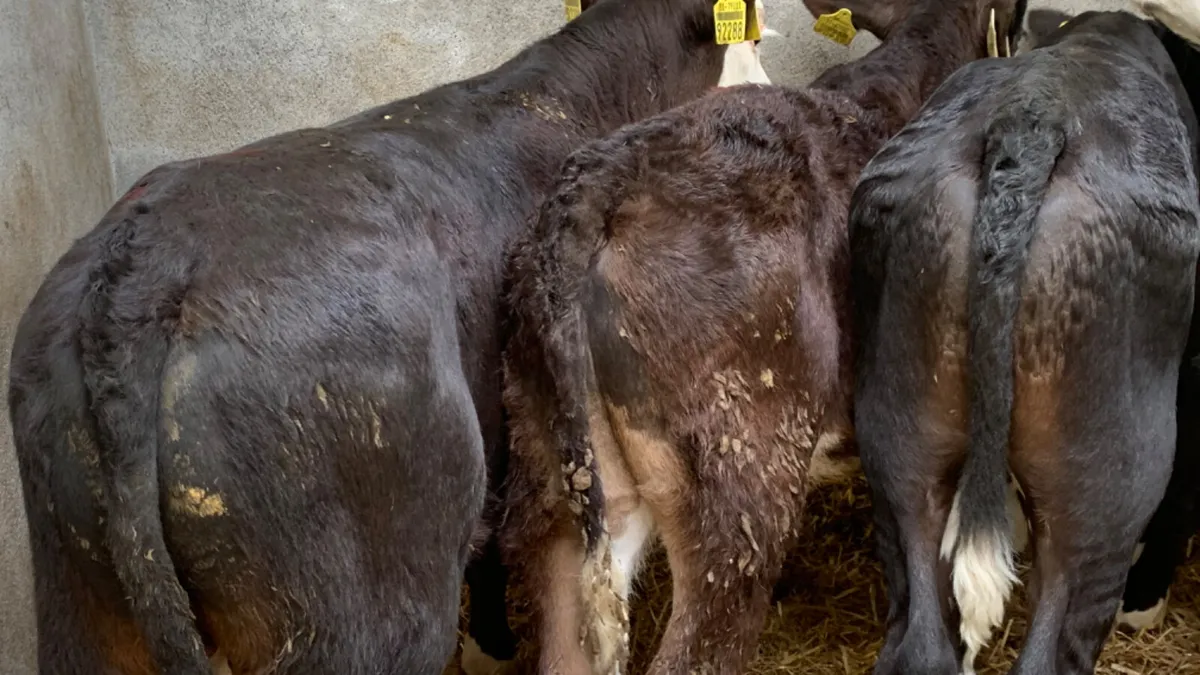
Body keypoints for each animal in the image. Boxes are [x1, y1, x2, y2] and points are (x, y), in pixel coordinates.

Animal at [4, 1, 772, 672]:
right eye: (755, 35)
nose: (769, 90)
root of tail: (146, 266)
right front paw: (492, 649)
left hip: (81, 602)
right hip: (364, 604)